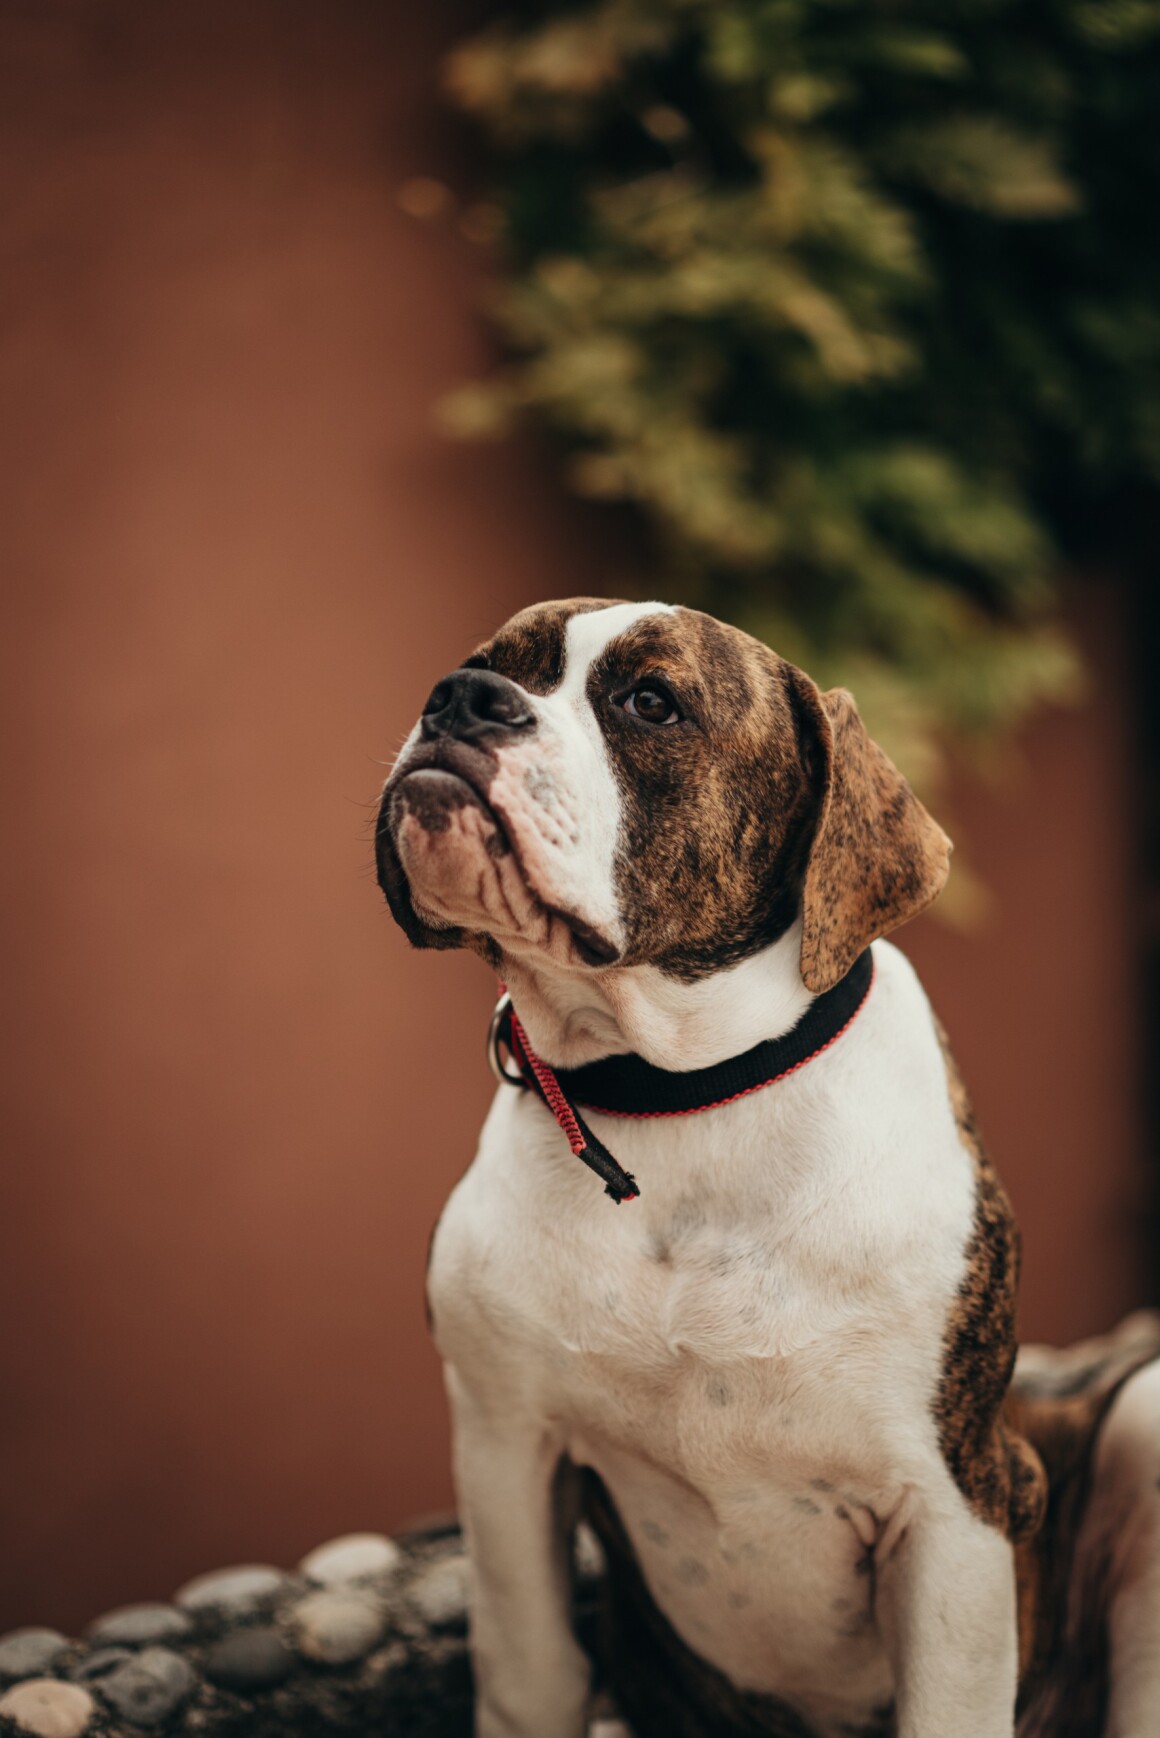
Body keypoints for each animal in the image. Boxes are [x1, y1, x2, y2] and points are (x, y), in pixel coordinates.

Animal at [376, 597, 1160, 1738]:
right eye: (488, 663)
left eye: (650, 702)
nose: (459, 697)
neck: (681, 1097)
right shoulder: (505, 1447)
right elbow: (530, 1677)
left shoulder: (955, 1509)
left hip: (1142, 1418)